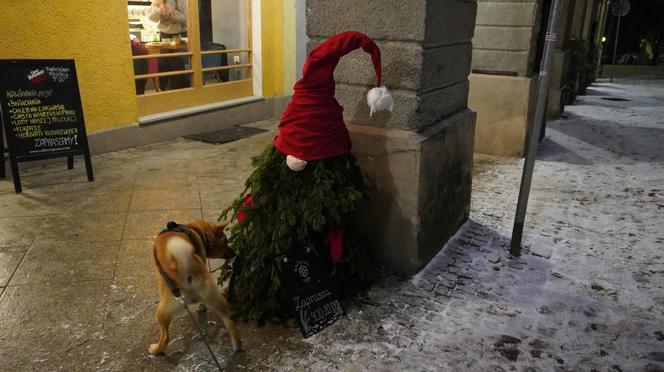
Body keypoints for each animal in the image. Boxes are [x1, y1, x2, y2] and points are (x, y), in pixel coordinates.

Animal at [149, 221, 243, 354]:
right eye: (225, 242)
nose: (235, 253)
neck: (198, 231)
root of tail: (184, 267)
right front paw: (202, 308)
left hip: (161, 312)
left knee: (165, 337)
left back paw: (156, 349)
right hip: (215, 298)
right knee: (229, 323)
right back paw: (237, 346)